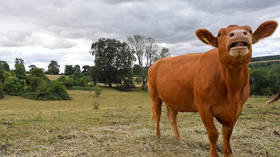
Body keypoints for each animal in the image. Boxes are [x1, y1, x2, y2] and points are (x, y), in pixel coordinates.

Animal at [148, 20, 276, 157]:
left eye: (250, 31)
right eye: (220, 34)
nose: (238, 33)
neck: (232, 91)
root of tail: (156, 63)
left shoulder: (237, 108)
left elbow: (227, 133)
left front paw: (227, 152)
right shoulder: (203, 107)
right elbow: (213, 134)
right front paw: (214, 154)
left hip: (174, 99)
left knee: (172, 116)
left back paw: (178, 138)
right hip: (155, 95)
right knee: (158, 115)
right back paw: (158, 135)